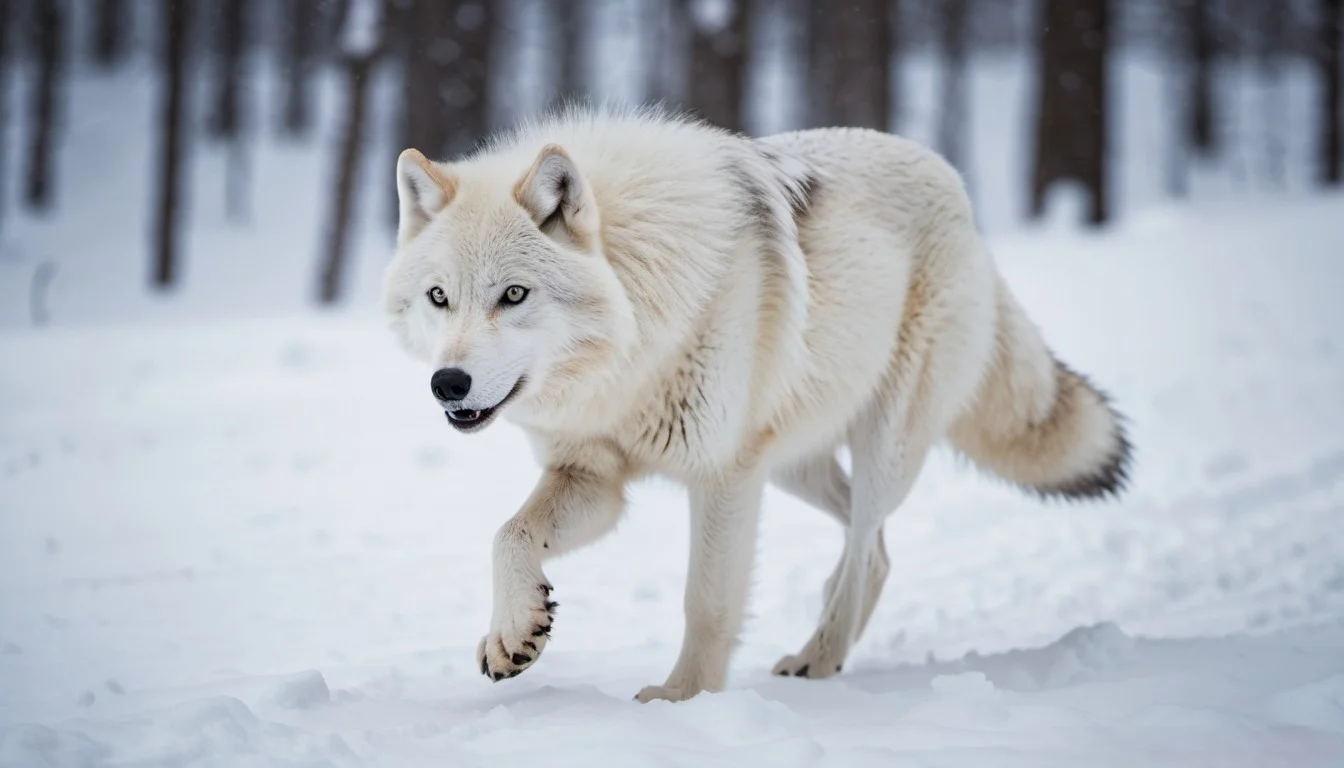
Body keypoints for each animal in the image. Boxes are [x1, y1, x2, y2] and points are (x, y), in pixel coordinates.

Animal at [381, 105, 1131, 703]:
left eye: (513, 294)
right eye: (439, 298)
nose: (447, 383)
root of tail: (956, 185)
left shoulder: (724, 475)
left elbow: (707, 603)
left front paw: (681, 703)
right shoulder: (594, 476)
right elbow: (508, 535)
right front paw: (514, 633)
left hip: (881, 446)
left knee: (866, 542)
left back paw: (818, 658)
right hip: (794, 463)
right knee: (876, 548)